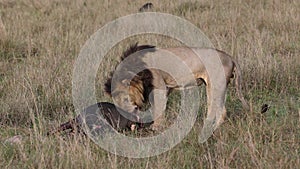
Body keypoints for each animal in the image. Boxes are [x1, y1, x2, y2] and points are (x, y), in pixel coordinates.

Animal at [104, 43, 250, 142]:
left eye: (124, 99)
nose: (125, 116)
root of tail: (229, 57)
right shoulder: (164, 88)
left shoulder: (159, 86)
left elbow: (158, 109)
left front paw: (154, 129)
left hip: (215, 86)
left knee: (220, 112)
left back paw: (209, 130)